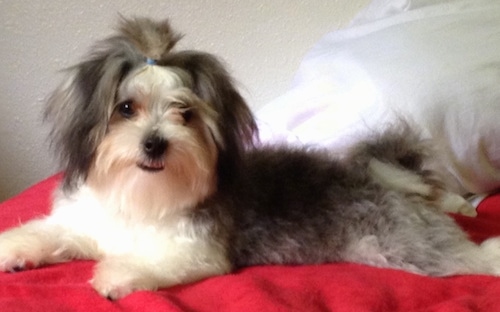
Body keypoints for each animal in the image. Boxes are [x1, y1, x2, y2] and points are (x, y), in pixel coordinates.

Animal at [0, 17, 500, 300]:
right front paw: (14, 250)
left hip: (402, 245)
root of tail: (382, 178)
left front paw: (116, 274)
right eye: (126, 108)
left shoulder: (199, 252)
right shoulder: (87, 223)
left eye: (185, 113)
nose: (155, 143)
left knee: (473, 257)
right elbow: (48, 233)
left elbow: (151, 260)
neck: (142, 193)